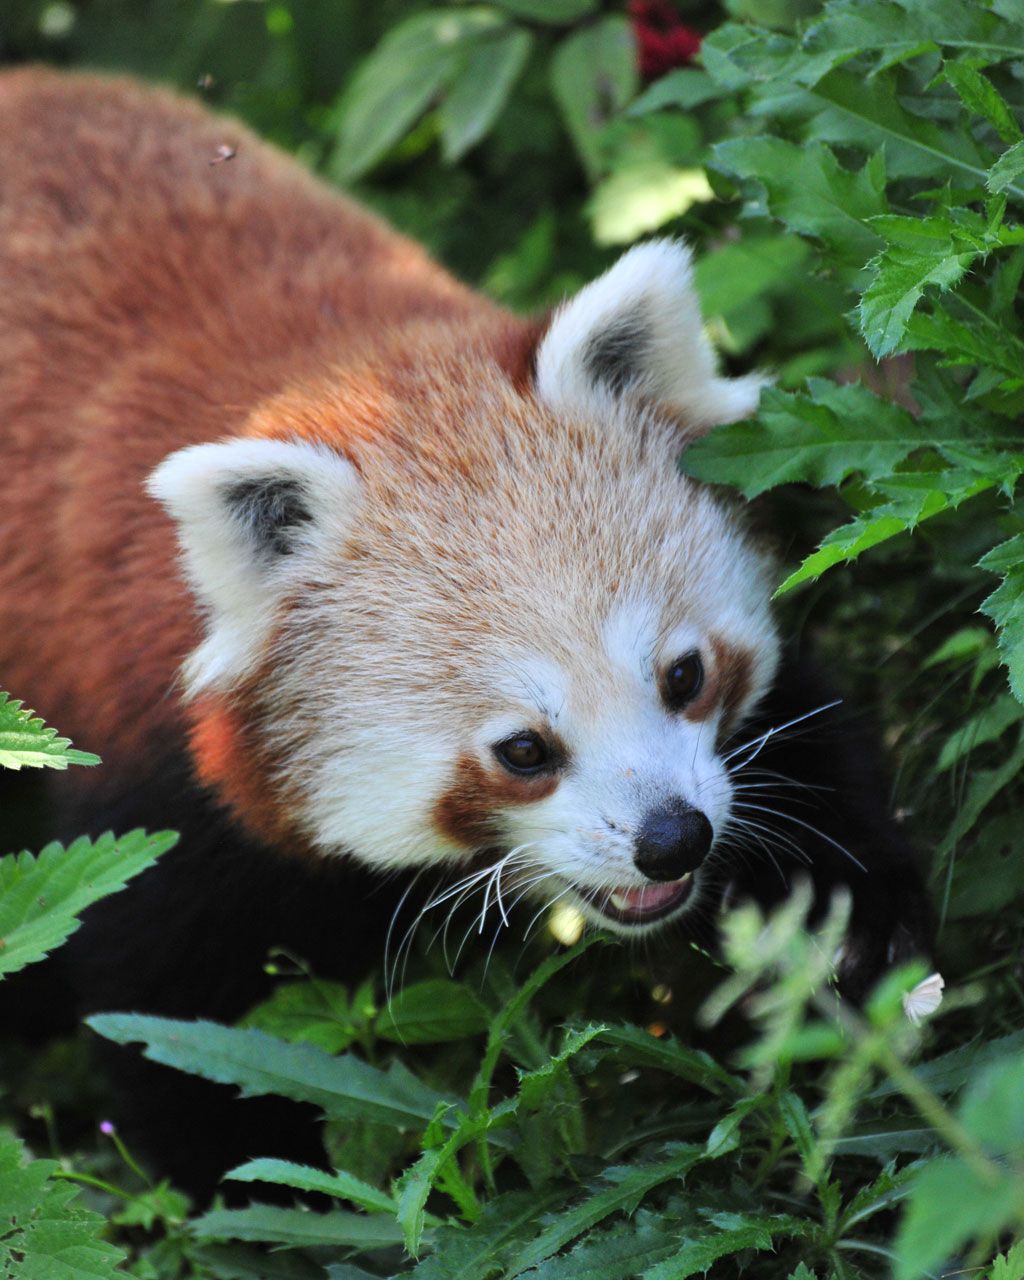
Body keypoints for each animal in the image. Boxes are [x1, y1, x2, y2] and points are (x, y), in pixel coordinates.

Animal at [0, 68, 930, 1197]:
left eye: (683, 675)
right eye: (522, 750)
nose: (675, 836)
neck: (339, 378)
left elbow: (797, 746)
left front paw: (851, 934)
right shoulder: (147, 786)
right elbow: (173, 1032)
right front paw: (275, 1204)